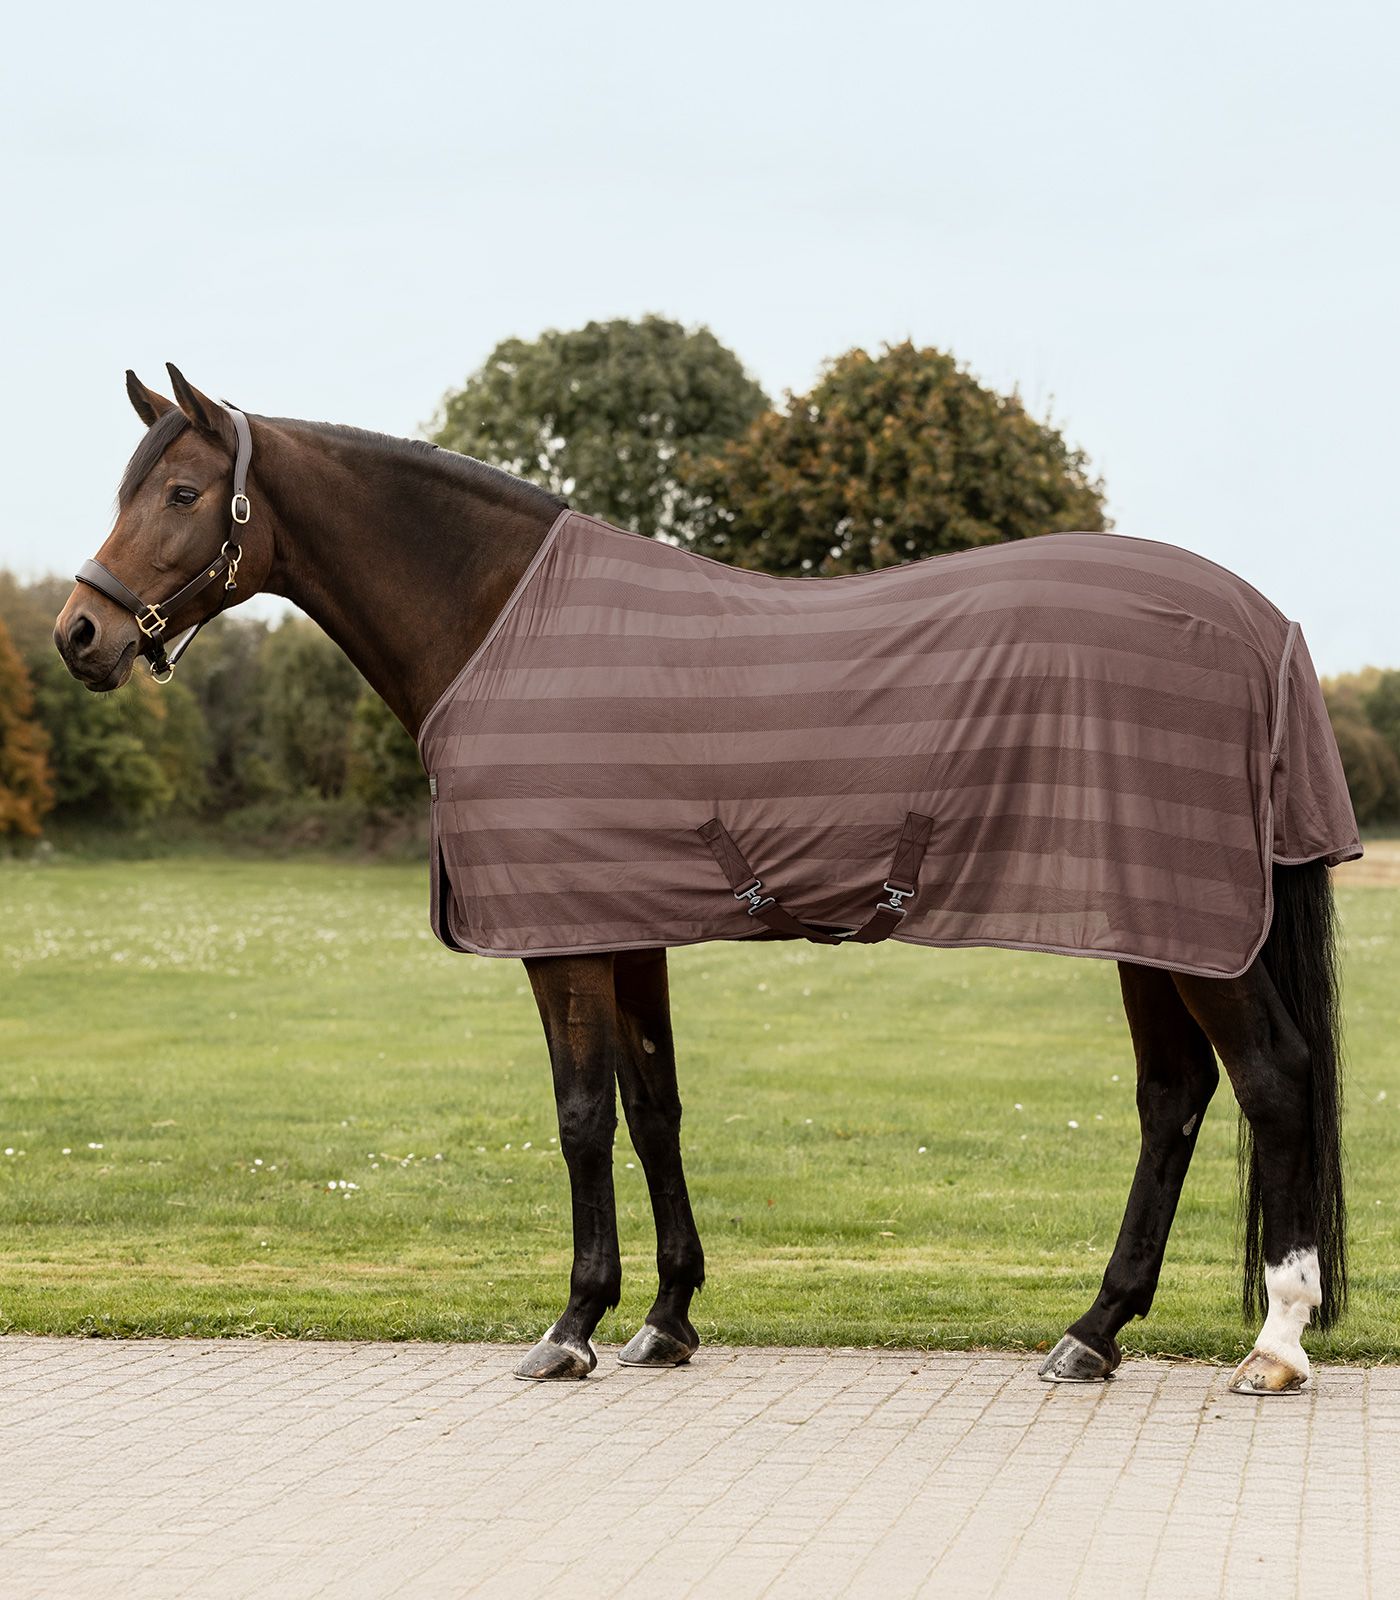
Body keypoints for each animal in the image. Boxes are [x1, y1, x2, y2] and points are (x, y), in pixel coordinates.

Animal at [54, 365, 1356, 1394]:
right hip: (1153, 923)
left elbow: (581, 1116)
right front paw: (665, 1318)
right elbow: (653, 1109)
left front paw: (571, 1322)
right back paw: (1092, 1331)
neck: (506, 624)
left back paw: (1274, 1342)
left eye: (181, 494)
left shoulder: (563, 938)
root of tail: (1263, 626)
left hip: (1196, 928)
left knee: (1271, 1077)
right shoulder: (627, 926)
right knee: (1173, 1097)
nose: (79, 634)